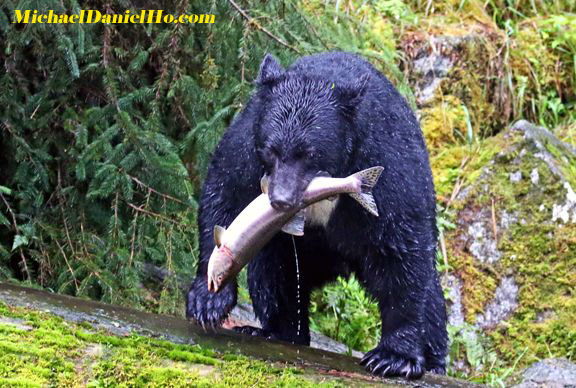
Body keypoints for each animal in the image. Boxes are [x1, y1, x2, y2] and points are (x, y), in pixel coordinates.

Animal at [187, 51, 448, 378]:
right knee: (273, 275)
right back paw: (277, 331)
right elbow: (224, 194)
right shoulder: (247, 141)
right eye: (272, 150)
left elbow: (401, 245)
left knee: (431, 295)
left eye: (309, 153)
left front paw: (394, 357)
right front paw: (208, 301)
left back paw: (435, 361)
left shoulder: (386, 158)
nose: (281, 200)